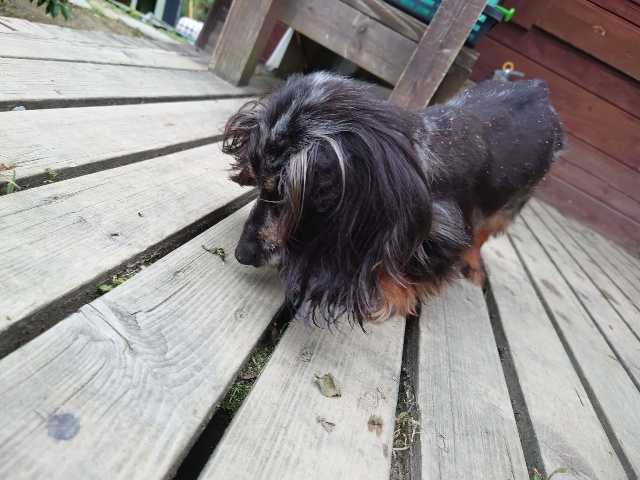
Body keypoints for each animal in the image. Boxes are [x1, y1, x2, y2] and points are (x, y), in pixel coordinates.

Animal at [222, 72, 564, 325]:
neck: (419, 159)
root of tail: (539, 88)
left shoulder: (446, 231)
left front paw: (391, 296)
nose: (242, 254)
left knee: (481, 236)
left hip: (510, 205)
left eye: (282, 197)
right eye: (259, 186)